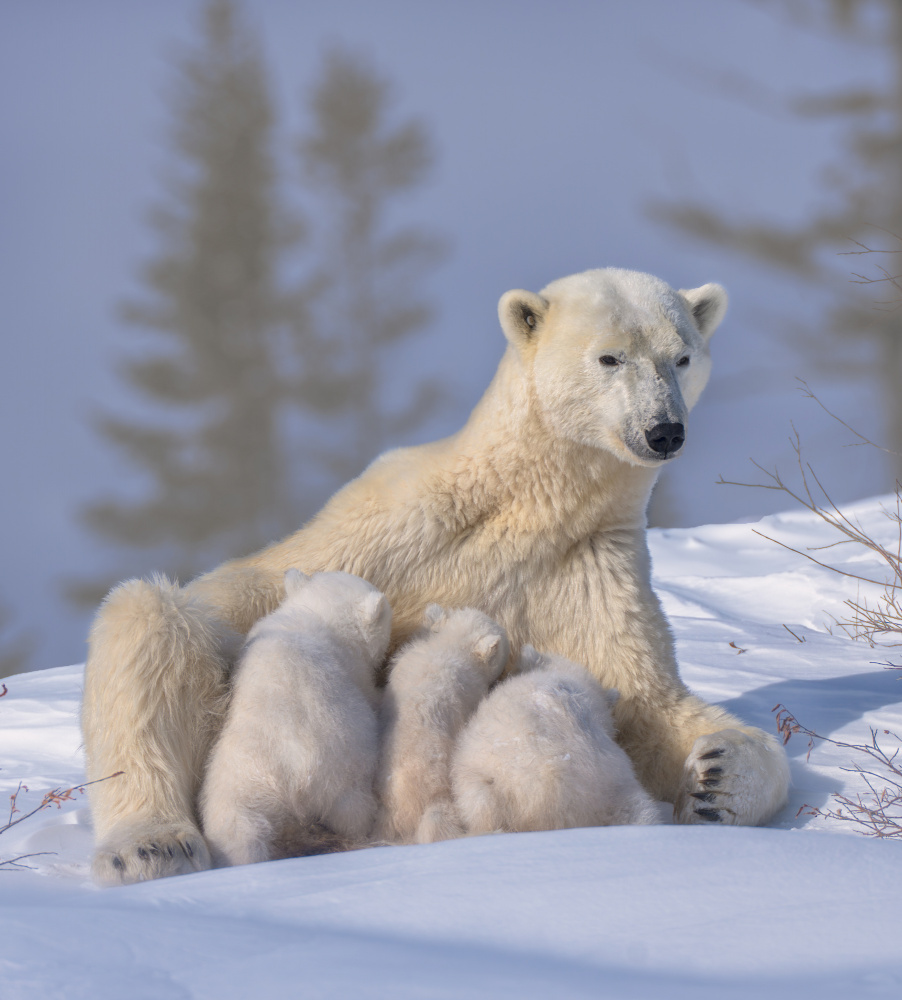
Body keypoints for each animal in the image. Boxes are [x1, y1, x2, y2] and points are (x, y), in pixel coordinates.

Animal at [200, 572, 390, 868]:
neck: (316, 615)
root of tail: (294, 780)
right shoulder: (355, 669)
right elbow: (370, 693)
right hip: (343, 772)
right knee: (354, 813)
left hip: (236, 785)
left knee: (236, 833)